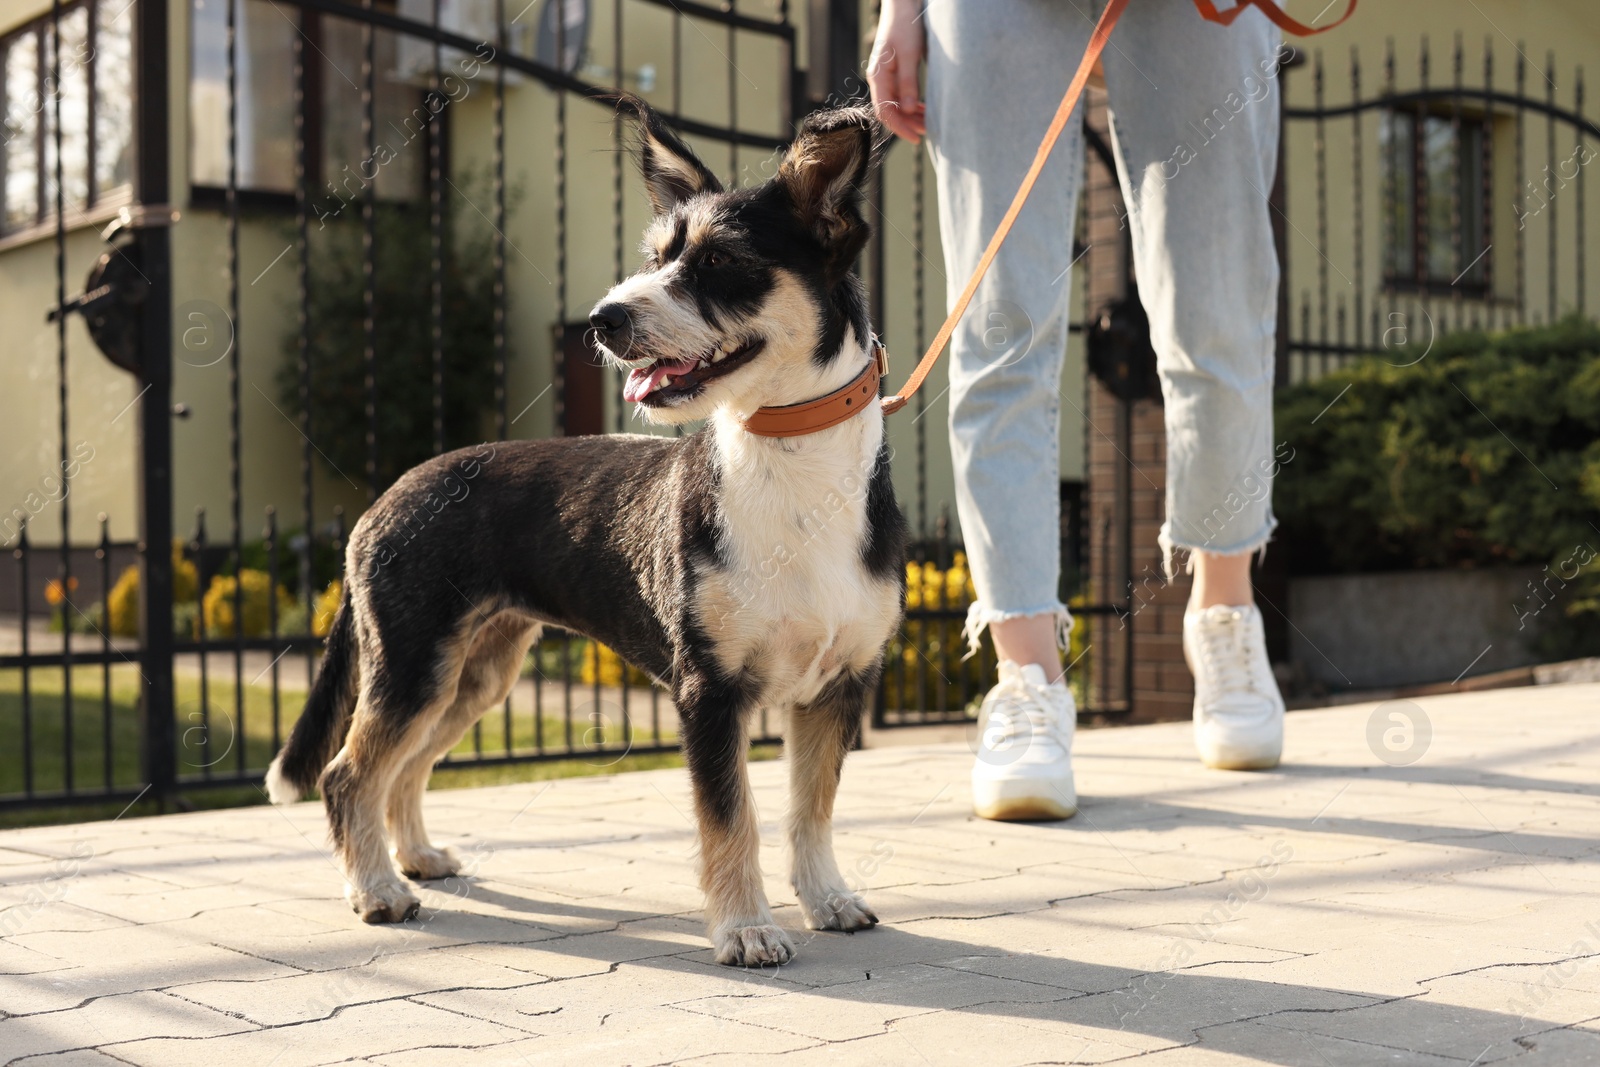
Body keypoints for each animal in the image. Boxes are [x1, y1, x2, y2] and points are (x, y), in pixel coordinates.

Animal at [268, 97, 908, 966]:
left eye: (720, 260)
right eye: (657, 255)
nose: (605, 319)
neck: (792, 471)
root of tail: (381, 502)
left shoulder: (840, 685)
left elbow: (812, 809)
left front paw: (827, 897)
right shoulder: (709, 691)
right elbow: (730, 820)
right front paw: (745, 926)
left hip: (473, 672)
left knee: (402, 767)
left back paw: (416, 856)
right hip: (411, 663)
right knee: (348, 772)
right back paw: (376, 890)